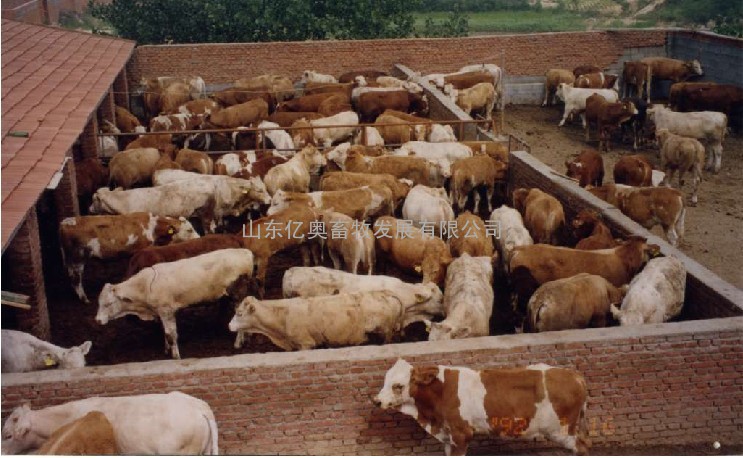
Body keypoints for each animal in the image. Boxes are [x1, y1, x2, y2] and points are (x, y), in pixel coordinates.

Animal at [97, 249, 254, 360]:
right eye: (99, 303)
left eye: (108, 303)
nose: (97, 320)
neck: (145, 286)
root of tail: (245, 252)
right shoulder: (161, 312)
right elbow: (165, 332)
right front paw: (166, 349)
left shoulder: (167, 310)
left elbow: (171, 334)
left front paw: (176, 356)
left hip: (237, 294)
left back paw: (238, 344)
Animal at [374, 360, 588, 456]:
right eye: (385, 381)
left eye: (398, 385)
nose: (376, 401)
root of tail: (575, 376)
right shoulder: (448, 437)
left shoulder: (462, 434)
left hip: (563, 430)